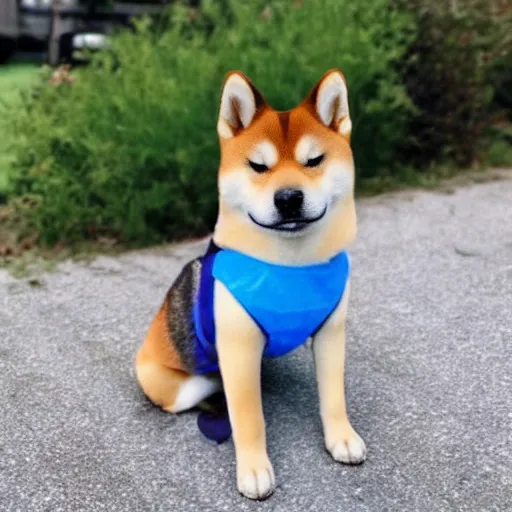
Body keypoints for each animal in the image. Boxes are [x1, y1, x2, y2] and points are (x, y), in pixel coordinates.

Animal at [136, 70, 366, 498]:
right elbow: (249, 417)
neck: (290, 266)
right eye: (258, 166)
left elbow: (333, 396)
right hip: (181, 386)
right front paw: (255, 469)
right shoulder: (239, 349)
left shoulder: (331, 334)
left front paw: (341, 437)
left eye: (314, 160)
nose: (289, 198)